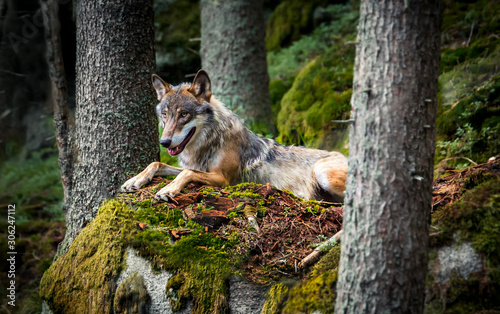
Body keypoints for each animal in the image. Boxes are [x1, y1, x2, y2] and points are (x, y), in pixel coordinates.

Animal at [121, 70, 348, 202]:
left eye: (184, 114)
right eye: (165, 115)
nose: (164, 142)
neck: (209, 141)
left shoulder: (224, 180)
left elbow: (185, 173)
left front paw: (168, 189)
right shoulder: (196, 167)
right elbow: (157, 163)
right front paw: (134, 180)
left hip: (321, 172)